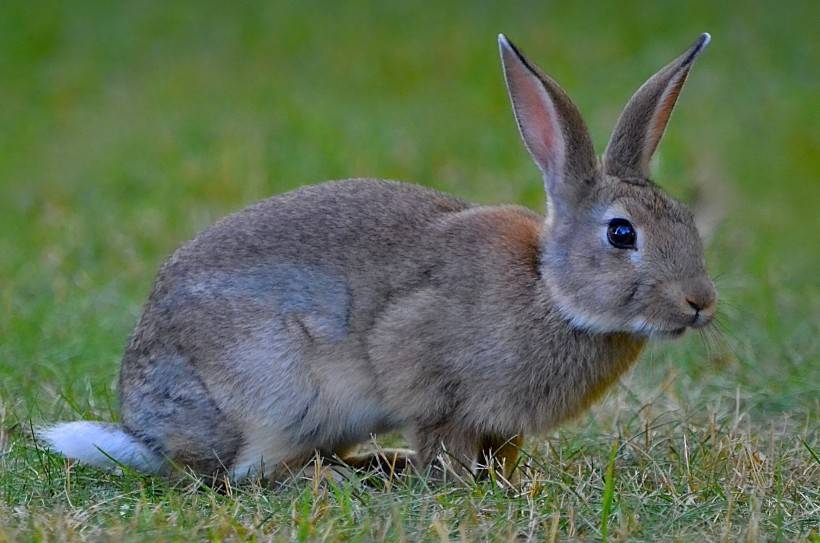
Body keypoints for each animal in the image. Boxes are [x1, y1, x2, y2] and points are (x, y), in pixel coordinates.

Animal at [38, 33, 716, 484]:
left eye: (685, 218)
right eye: (622, 234)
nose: (700, 303)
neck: (549, 289)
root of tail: (146, 431)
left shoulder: (502, 423)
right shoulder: (426, 373)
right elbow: (443, 439)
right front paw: (456, 485)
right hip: (275, 393)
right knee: (244, 473)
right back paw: (337, 477)